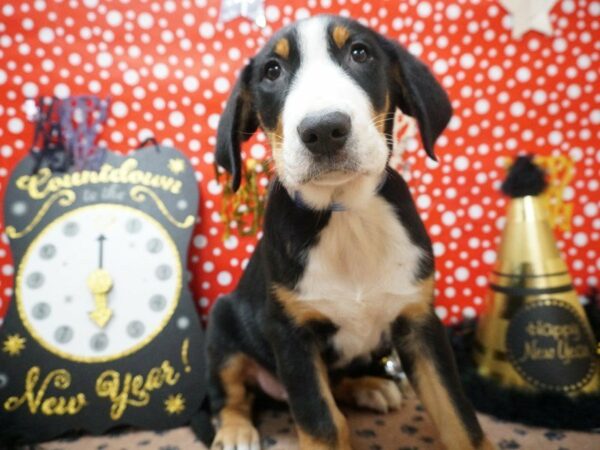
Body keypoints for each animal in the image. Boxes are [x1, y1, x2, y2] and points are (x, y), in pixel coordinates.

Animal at [209, 14, 490, 450]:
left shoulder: (419, 320)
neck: (345, 214)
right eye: (272, 71)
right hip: (223, 324)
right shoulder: (291, 334)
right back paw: (236, 429)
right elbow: (322, 421)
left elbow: (458, 416)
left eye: (360, 53)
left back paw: (370, 386)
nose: (324, 129)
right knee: (231, 392)